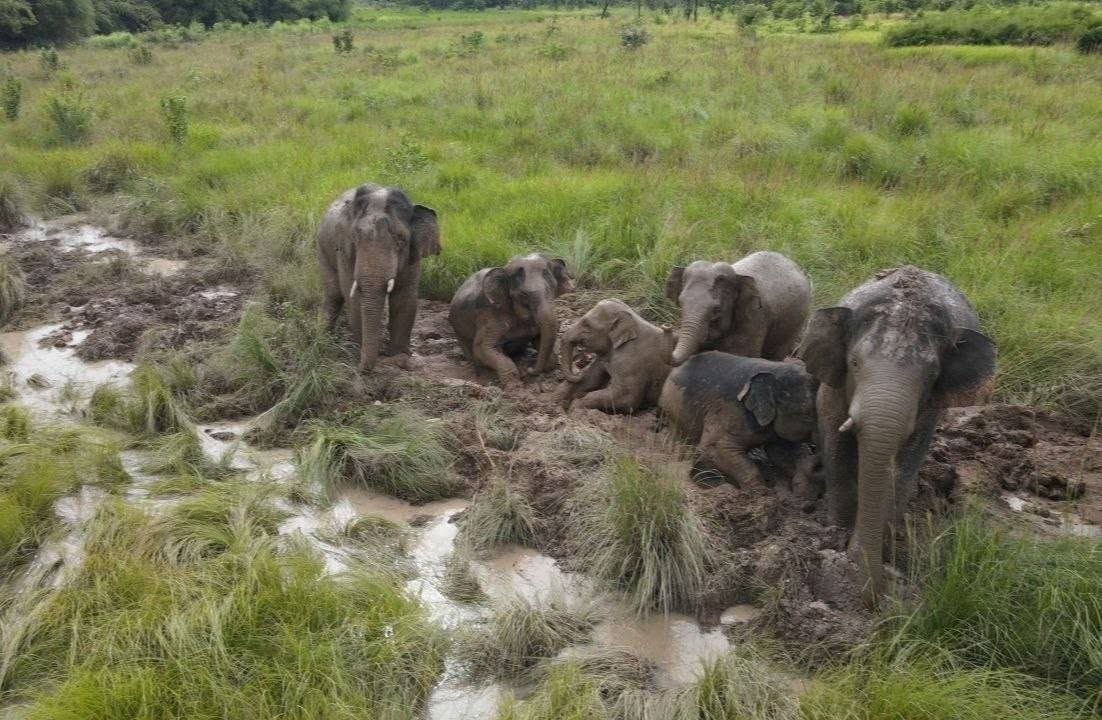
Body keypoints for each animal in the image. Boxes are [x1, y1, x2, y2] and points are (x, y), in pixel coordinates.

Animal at [318, 184, 441, 373]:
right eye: (355, 238)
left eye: (401, 241)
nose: (362, 369)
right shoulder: (344, 250)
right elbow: (353, 296)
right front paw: (360, 350)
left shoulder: (413, 256)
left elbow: (405, 297)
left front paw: (399, 355)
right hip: (322, 249)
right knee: (334, 294)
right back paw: (323, 335)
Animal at [448, 254, 573, 387]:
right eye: (524, 294)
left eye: (553, 288)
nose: (529, 369)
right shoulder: (489, 315)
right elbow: (482, 348)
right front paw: (514, 385)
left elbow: (541, 340)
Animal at [659, 351, 818, 495]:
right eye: (809, 414)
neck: (775, 370)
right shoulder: (730, 410)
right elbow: (716, 448)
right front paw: (759, 495)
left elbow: (782, 452)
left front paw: (803, 495)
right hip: (675, 408)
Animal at [665, 251, 812, 366]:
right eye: (680, 302)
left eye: (717, 309)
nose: (666, 327)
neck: (737, 276)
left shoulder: (755, 317)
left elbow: (743, 355)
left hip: (796, 322)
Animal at [799, 266, 996, 599]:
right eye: (854, 363)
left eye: (932, 374)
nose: (868, 588)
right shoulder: (833, 385)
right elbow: (835, 440)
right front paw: (837, 533)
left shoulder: (931, 405)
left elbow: (908, 461)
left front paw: (885, 542)